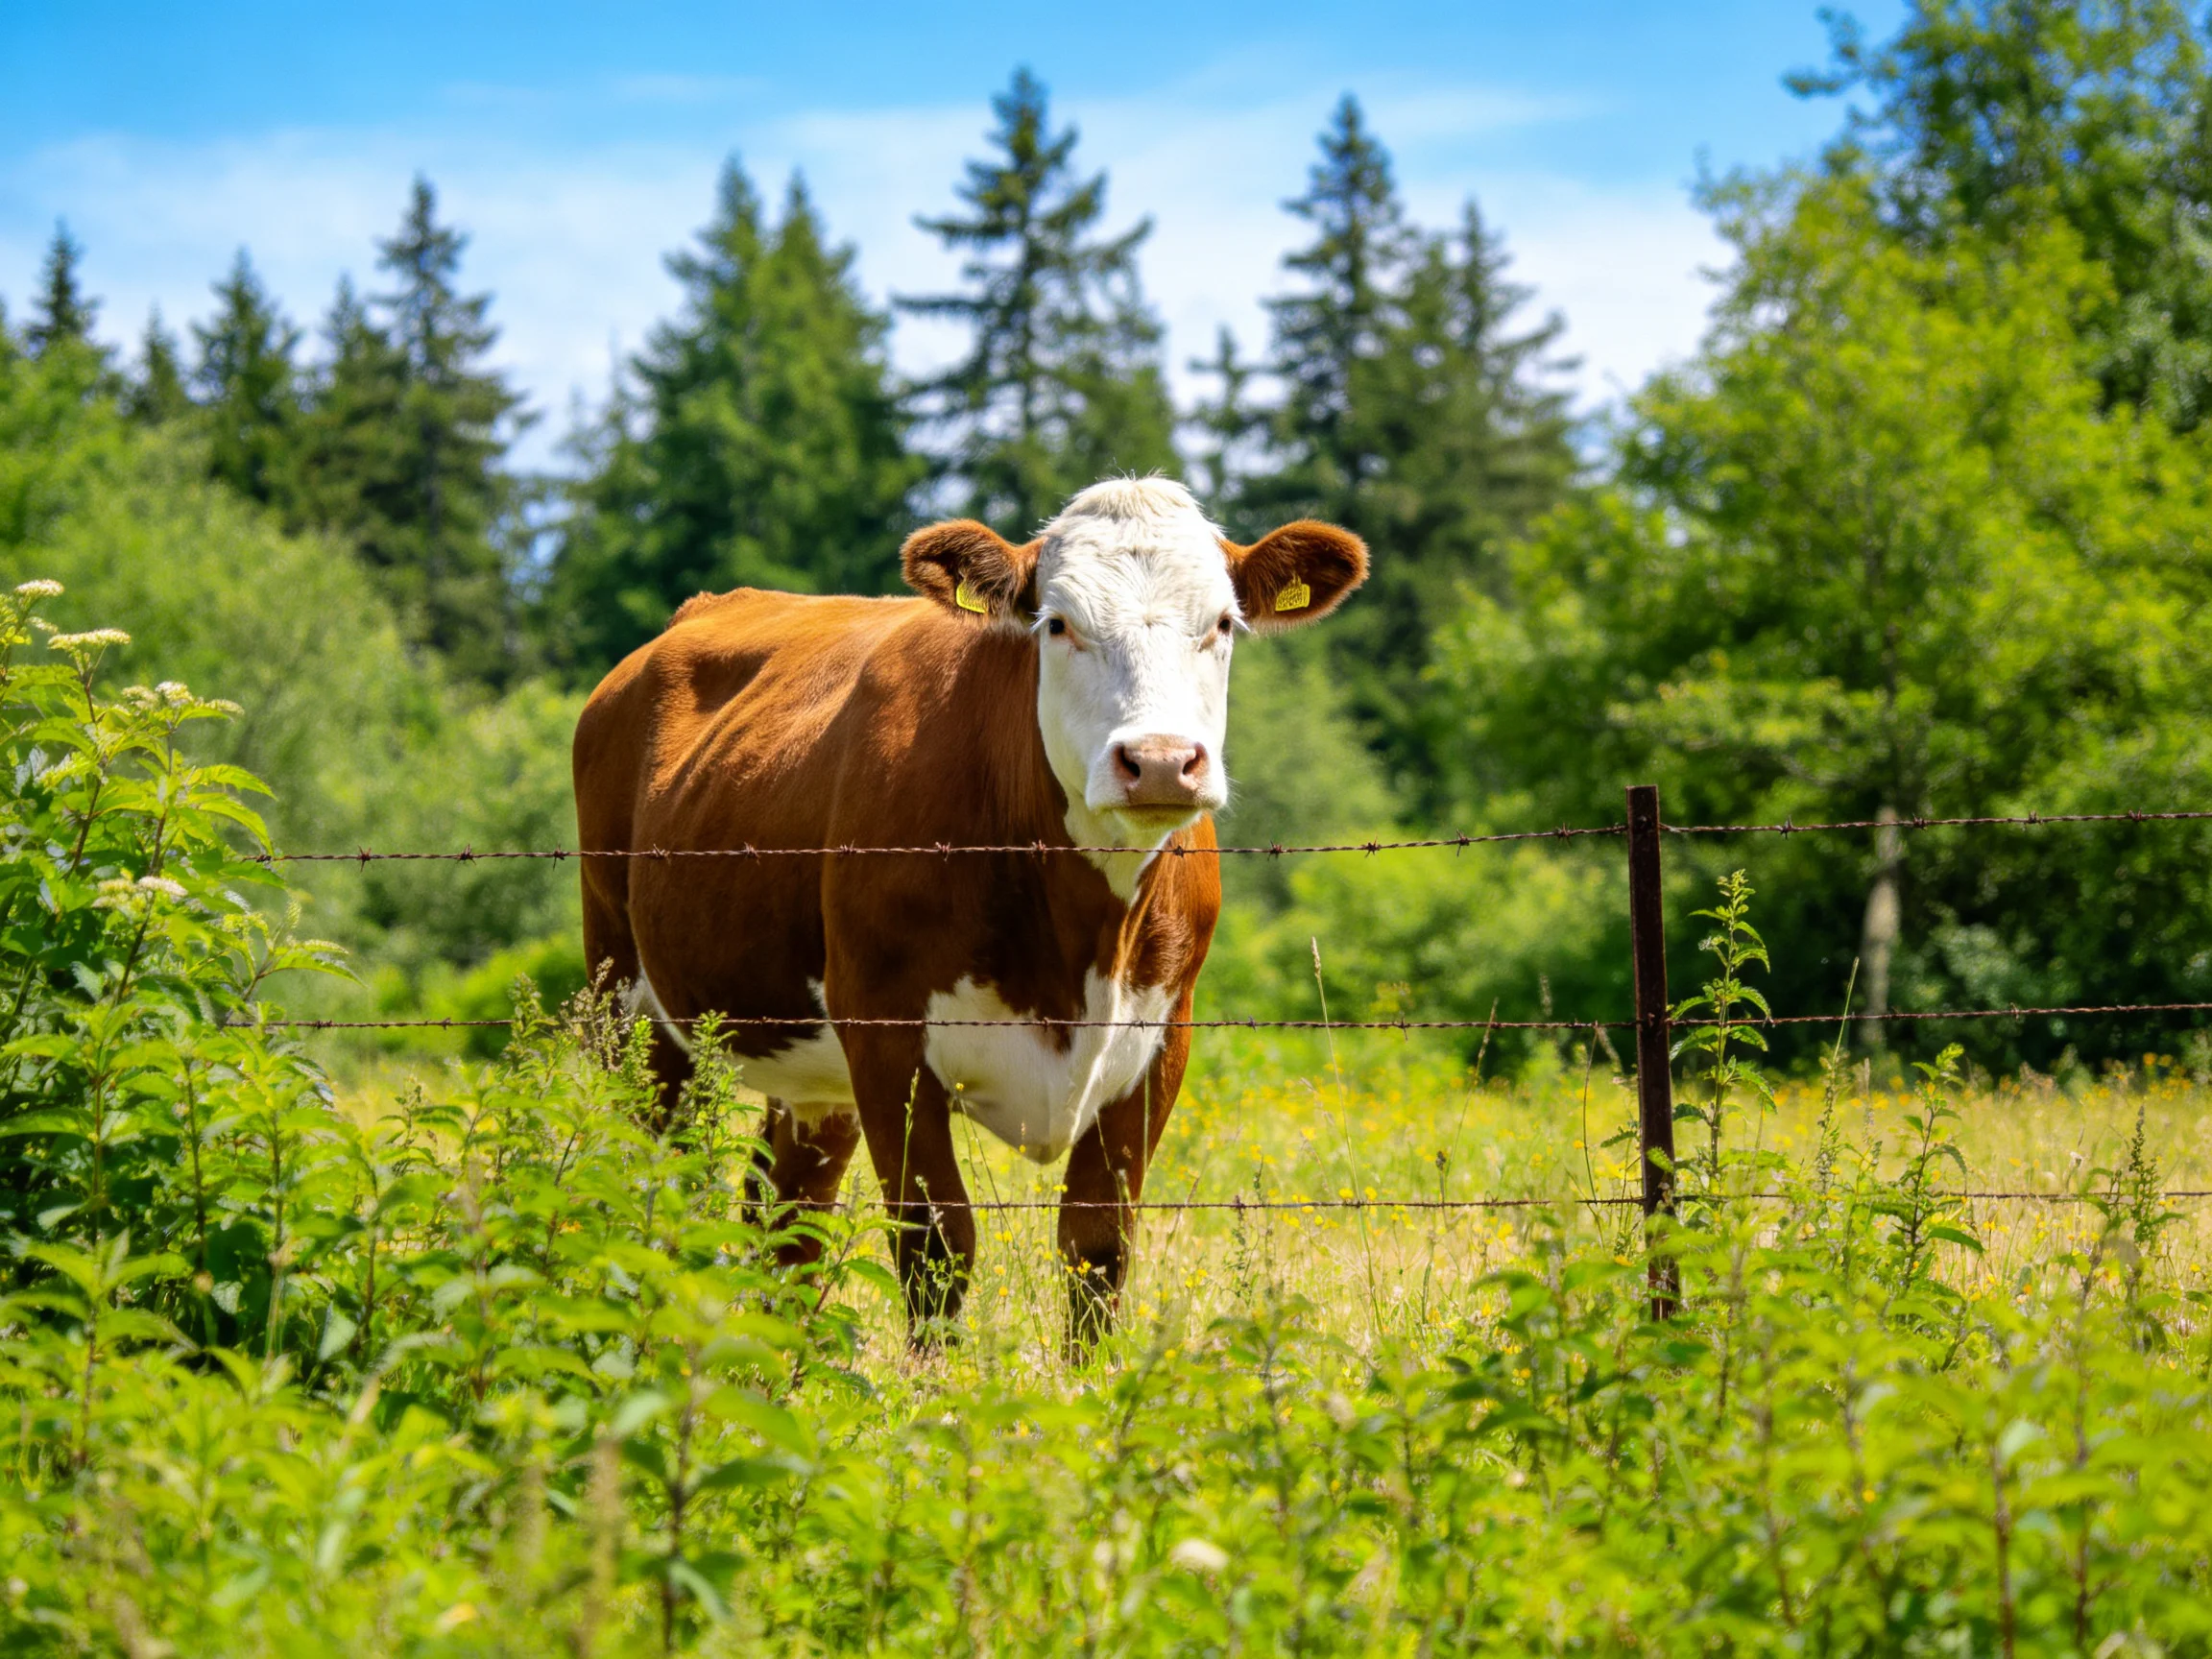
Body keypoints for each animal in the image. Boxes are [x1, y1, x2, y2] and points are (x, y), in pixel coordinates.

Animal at [572, 477, 1367, 1346]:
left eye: (1222, 623)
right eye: (1058, 623)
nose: (1159, 761)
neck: (1080, 943)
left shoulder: (1161, 1040)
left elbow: (1097, 1250)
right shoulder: (884, 1034)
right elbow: (936, 1247)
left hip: (812, 1074)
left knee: (787, 1223)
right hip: (631, 1011)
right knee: (649, 1184)